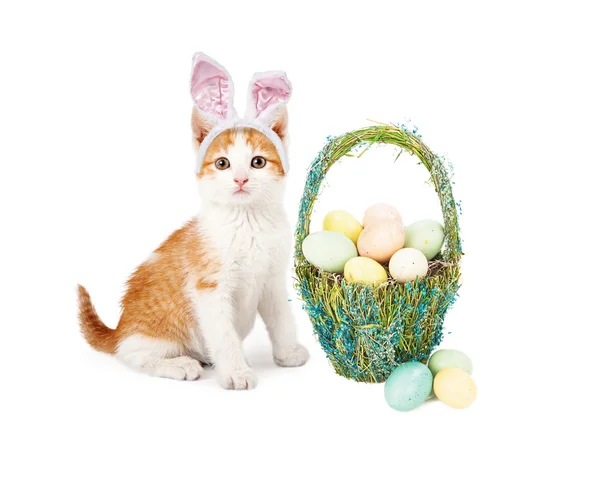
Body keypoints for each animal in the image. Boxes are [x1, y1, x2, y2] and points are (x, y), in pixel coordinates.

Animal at [77, 53, 308, 390]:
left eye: (258, 162)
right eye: (222, 163)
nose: (240, 179)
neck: (247, 222)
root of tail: (119, 328)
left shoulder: (273, 279)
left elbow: (282, 319)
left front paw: (288, 353)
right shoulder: (210, 287)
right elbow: (224, 335)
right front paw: (236, 372)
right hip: (158, 334)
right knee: (131, 354)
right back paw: (178, 365)